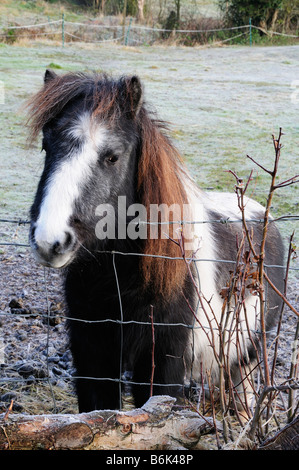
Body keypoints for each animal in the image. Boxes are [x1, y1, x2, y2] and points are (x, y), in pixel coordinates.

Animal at [26, 70, 286, 414]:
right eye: (46, 147)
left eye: (112, 156)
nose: (50, 241)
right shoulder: (92, 360)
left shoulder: (162, 367)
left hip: (251, 350)